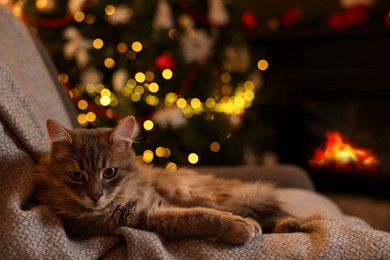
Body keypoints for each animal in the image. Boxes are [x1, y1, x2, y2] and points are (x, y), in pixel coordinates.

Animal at [34, 117, 302, 245]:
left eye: (109, 172)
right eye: (76, 175)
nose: (95, 195)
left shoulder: (156, 203)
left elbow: (205, 212)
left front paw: (244, 224)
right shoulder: (144, 217)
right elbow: (198, 216)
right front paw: (240, 227)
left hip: (211, 195)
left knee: (268, 211)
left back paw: (290, 224)